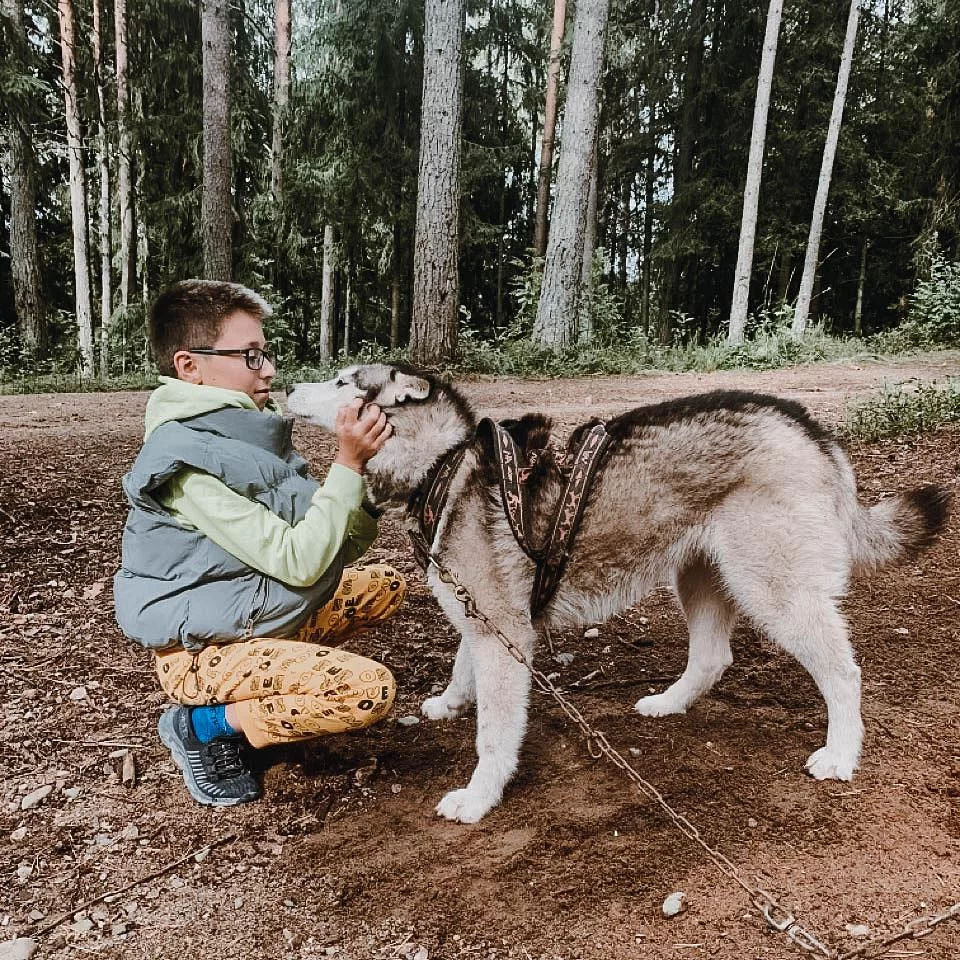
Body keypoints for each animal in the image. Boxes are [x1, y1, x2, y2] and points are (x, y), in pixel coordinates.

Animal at [284, 368, 944, 824]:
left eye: (342, 381)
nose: (289, 383)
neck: (444, 463)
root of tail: (810, 428)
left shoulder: (504, 635)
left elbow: (494, 732)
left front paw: (479, 796)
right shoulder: (484, 623)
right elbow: (460, 665)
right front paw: (449, 702)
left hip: (774, 593)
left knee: (843, 673)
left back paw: (841, 753)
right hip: (698, 579)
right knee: (713, 658)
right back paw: (670, 703)